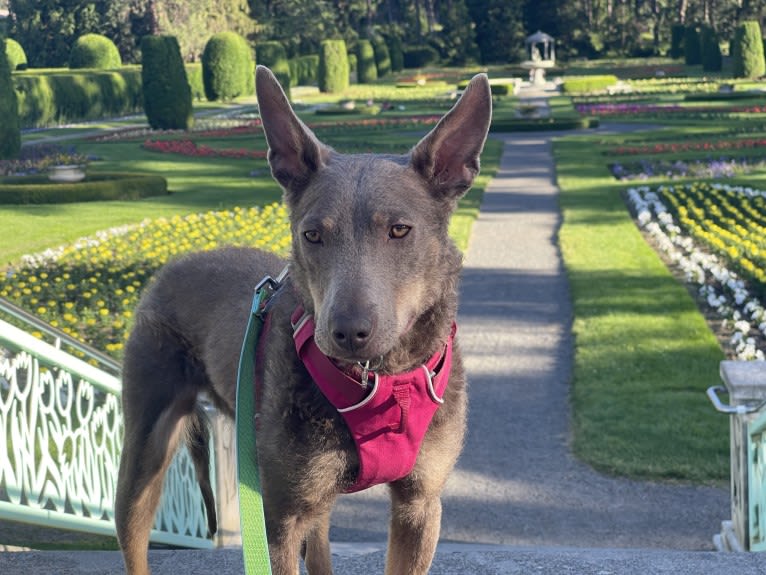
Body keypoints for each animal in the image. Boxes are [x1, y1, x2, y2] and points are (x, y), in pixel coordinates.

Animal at [117, 65, 496, 572]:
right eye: (311, 234)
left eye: (400, 230)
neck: (380, 379)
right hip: (148, 443)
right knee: (133, 528)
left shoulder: (420, 504)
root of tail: (168, 268)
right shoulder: (278, 518)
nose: (348, 332)